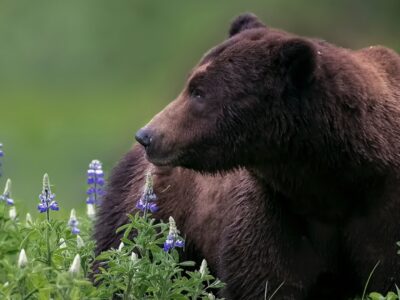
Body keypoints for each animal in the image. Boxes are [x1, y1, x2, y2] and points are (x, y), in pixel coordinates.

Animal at [95, 13, 400, 300]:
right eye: (191, 84)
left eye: (199, 92)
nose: (147, 135)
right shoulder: (274, 208)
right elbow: (265, 281)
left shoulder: (381, 205)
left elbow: (386, 276)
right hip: (152, 212)